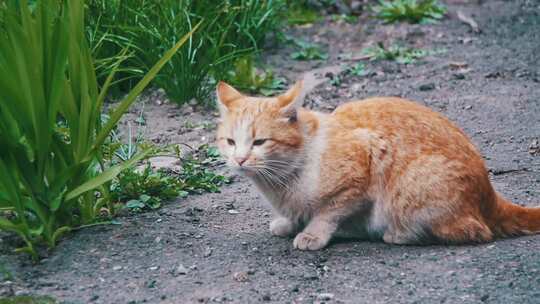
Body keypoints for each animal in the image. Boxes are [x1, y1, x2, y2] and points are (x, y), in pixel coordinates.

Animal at [215, 80, 540, 249]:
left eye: (259, 142)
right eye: (230, 142)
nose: (239, 158)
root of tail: (490, 195)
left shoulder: (363, 162)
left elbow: (328, 212)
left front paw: (312, 233)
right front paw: (289, 222)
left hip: (415, 189)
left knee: (473, 231)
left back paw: (398, 234)